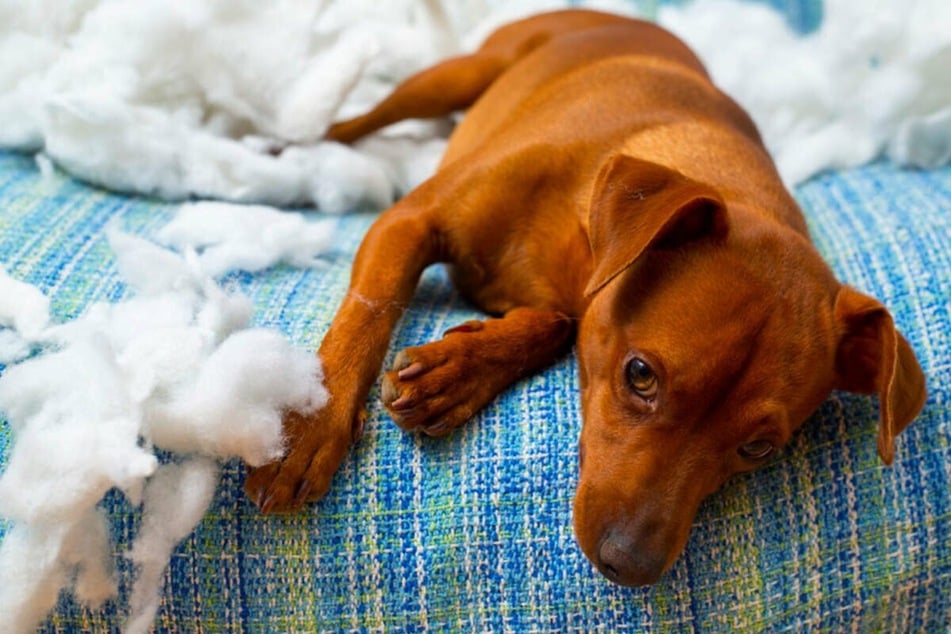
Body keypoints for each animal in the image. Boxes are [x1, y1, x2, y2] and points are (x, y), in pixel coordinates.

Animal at [242, 9, 924, 584]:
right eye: (640, 376)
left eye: (758, 449)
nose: (630, 565)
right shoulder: (408, 222)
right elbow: (371, 310)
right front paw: (310, 424)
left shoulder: (569, 299)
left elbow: (555, 327)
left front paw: (456, 373)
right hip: (454, 75)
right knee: (355, 122)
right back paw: (285, 149)